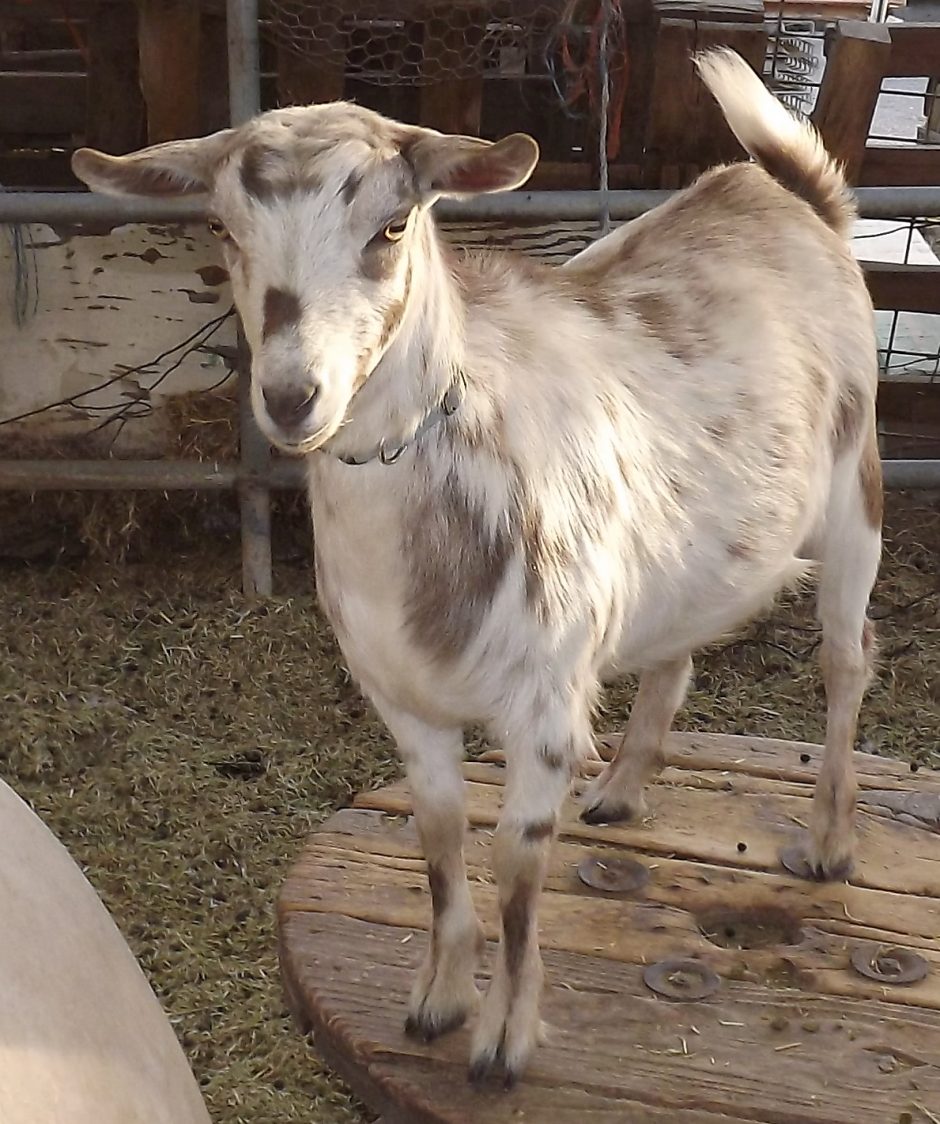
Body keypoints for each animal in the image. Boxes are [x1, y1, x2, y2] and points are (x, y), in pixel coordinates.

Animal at [73, 50, 882, 1086]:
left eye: (392, 226)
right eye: (221, 227)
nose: (294, 398)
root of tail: (792, 194)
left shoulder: (541, 709)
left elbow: (516, 873)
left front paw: (503, 1039)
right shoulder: (402, 701)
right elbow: (440, 840)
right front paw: (438, 999)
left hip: (855, 498)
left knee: (846, 661)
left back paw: (828, 842)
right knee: (680, 645)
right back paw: (622, 789)